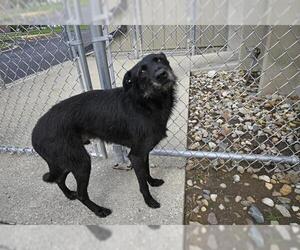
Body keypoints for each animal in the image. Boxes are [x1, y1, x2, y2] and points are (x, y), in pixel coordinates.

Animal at [31, 52, 176, 217]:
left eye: (159, 59)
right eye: (142, 71)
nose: (162, 74)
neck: (146, 101)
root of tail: (35, 132)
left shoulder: (144, 152)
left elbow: (147, 171)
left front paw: (153, 181)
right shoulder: (136, 155)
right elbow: (142, 184)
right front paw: (149, 201)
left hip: (67, 160)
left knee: (59, 179)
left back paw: (69, 194)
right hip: (81, 162)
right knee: (81, 194)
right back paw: (99, 210)